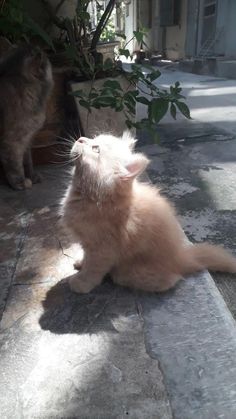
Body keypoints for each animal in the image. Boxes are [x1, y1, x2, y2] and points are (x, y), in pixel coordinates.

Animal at [0, 45, 53, 190]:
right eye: (32, 52)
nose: (41, 51)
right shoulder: (13, 140)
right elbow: (15, 165)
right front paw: (20, 182)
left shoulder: (27, 138)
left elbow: (27, 161)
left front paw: (32, 176)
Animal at [60, 133, 236, 294]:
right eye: (93, 138)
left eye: (96, 149)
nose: (80, 139)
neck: (93, 197)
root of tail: (181, 257)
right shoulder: (87, 242)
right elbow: (86, 256)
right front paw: (81, 263)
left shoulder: (103, 248)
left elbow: (93, 269)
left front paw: (81, 283)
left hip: (130, 272)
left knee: (169, 280)